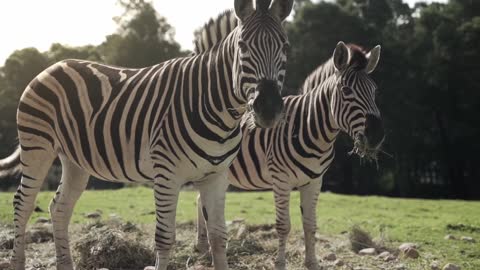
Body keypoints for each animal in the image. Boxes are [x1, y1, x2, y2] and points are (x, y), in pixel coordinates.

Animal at [0, 0, 292, 270]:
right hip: (37, 146)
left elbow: (219, 238)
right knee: (23, 203)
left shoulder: (216, 177)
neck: (213, 105)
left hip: (75, 159)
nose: (268, 109)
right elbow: (164, 238)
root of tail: (52, 66)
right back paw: (17, 261)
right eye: (242, 46)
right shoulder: (167, 175)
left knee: (59, 207)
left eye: (286, 47)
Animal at [190, 11, 382, 270]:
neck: (312, 129)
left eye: (374, 91)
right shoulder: (281, 181)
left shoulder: (314, 182)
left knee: (200, 200)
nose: (376, 135)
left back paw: (203, 247)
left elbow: (310, 225)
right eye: (346, 91)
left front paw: (312, 263)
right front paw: (280, 263)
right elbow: (284, 226)